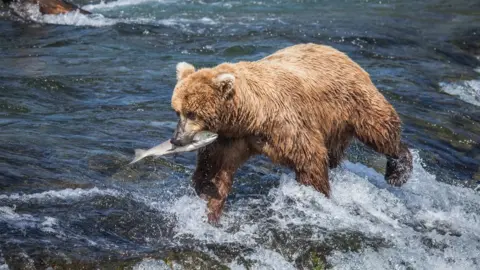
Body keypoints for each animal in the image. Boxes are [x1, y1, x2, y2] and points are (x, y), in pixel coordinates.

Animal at [170, 42, 412, 224]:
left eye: (192, 113)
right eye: (177, 111)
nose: (176, 139)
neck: (251, 116)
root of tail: (338, 52)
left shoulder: (286, 125)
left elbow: (310, 159)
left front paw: (317, 196)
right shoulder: (231, 139)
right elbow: (215, 170)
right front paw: (208, 208)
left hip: (354, 102)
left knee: (380, 130)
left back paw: (398, 170)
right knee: (335, 153)